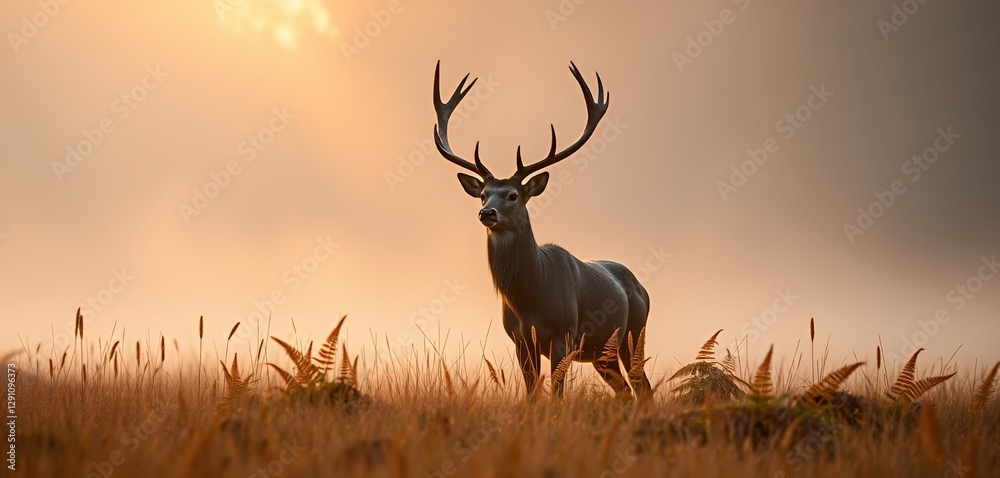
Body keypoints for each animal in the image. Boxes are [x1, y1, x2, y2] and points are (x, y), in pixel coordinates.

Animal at [432, 61, 652, 398]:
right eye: (483, 194)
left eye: (513, 195)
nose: (486, 212)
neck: (529, 298)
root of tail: (643, 288)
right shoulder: (520, 339)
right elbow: (532, 395)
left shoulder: (564, 334)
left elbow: (557, 396)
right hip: (603, 354)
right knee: (627, 392)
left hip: (634, 332)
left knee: (644, 389)